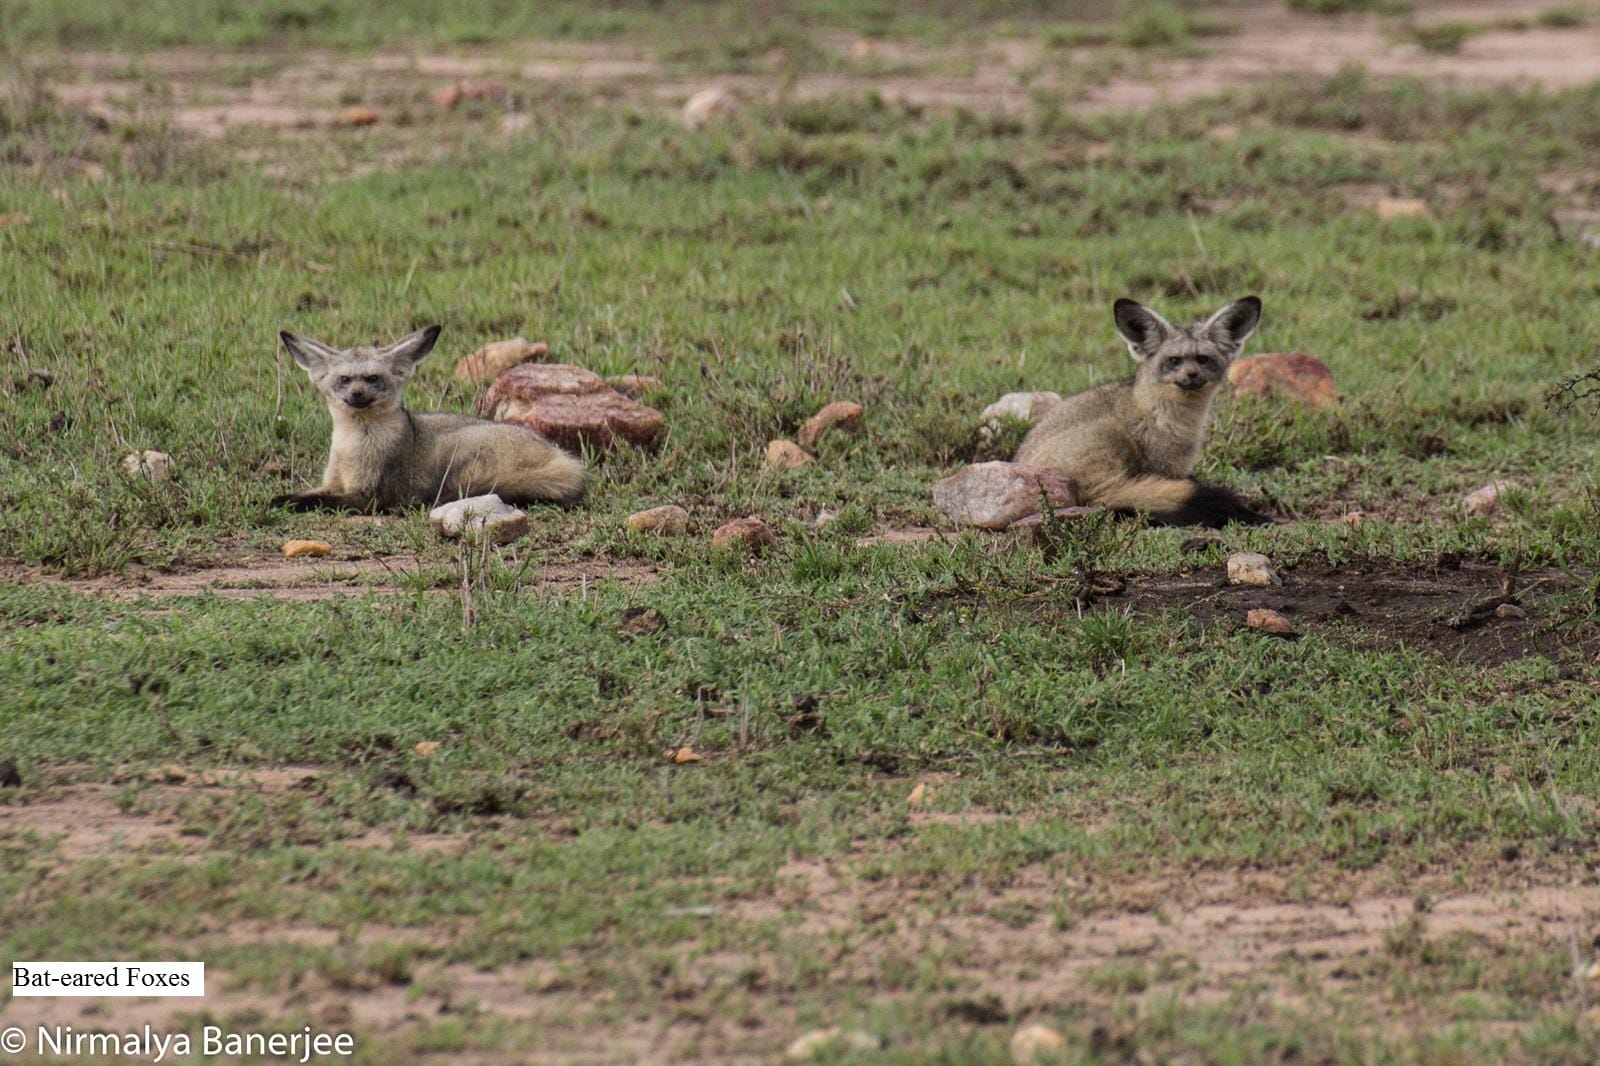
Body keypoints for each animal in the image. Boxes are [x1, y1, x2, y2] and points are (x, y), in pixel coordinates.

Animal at [273, 323, 588, 512]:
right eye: (344, 380)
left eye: (373, 378)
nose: (357, 395)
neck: (351, 443)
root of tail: (563, 457)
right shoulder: (333, 483)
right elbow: (309, 493)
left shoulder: (366, 496)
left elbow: (316, 500)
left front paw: (280, 501)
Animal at [1017, 294, 1267, 528]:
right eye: (1174, 361)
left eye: (1203, 359)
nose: (1192, 375)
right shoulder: (1166, 468)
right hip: (1109, 437)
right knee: (1105, 497)